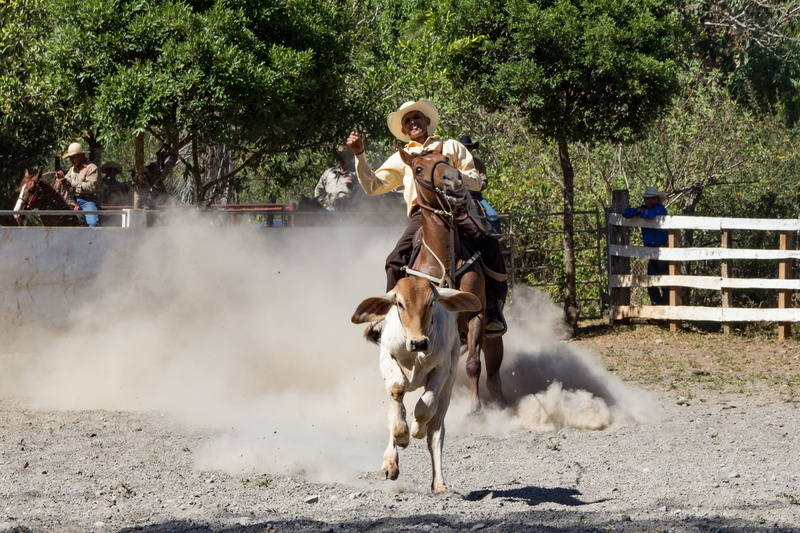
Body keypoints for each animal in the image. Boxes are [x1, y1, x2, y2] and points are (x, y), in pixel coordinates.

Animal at [352, 276, 481, 493]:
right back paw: (391, 461)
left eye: (431, 302)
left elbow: (426, 406)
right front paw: (402, 437)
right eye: (400, 303)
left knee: (436, 430)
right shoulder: (387, 357)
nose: (419, 343)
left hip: (449, 382)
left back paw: (438, 482)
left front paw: (415, 430)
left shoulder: (442, 367)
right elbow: (397, 393)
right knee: (395, 412)